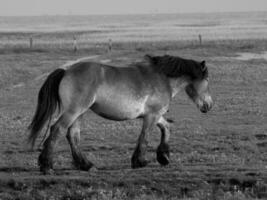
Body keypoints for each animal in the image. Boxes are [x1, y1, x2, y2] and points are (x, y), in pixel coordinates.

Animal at [28, 54, 215, 174]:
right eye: (206, 80)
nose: (209, 105)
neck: (163, 79)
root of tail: (66, 71)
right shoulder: (151, 116)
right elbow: (144, 137)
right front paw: (140, 161)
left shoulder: (155, 115)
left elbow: (166, 128)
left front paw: (164, 157)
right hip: (74, 111)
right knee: (57, 129)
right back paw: (47, 166)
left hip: (79, 113)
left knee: (72, 135)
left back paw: (87, 165)